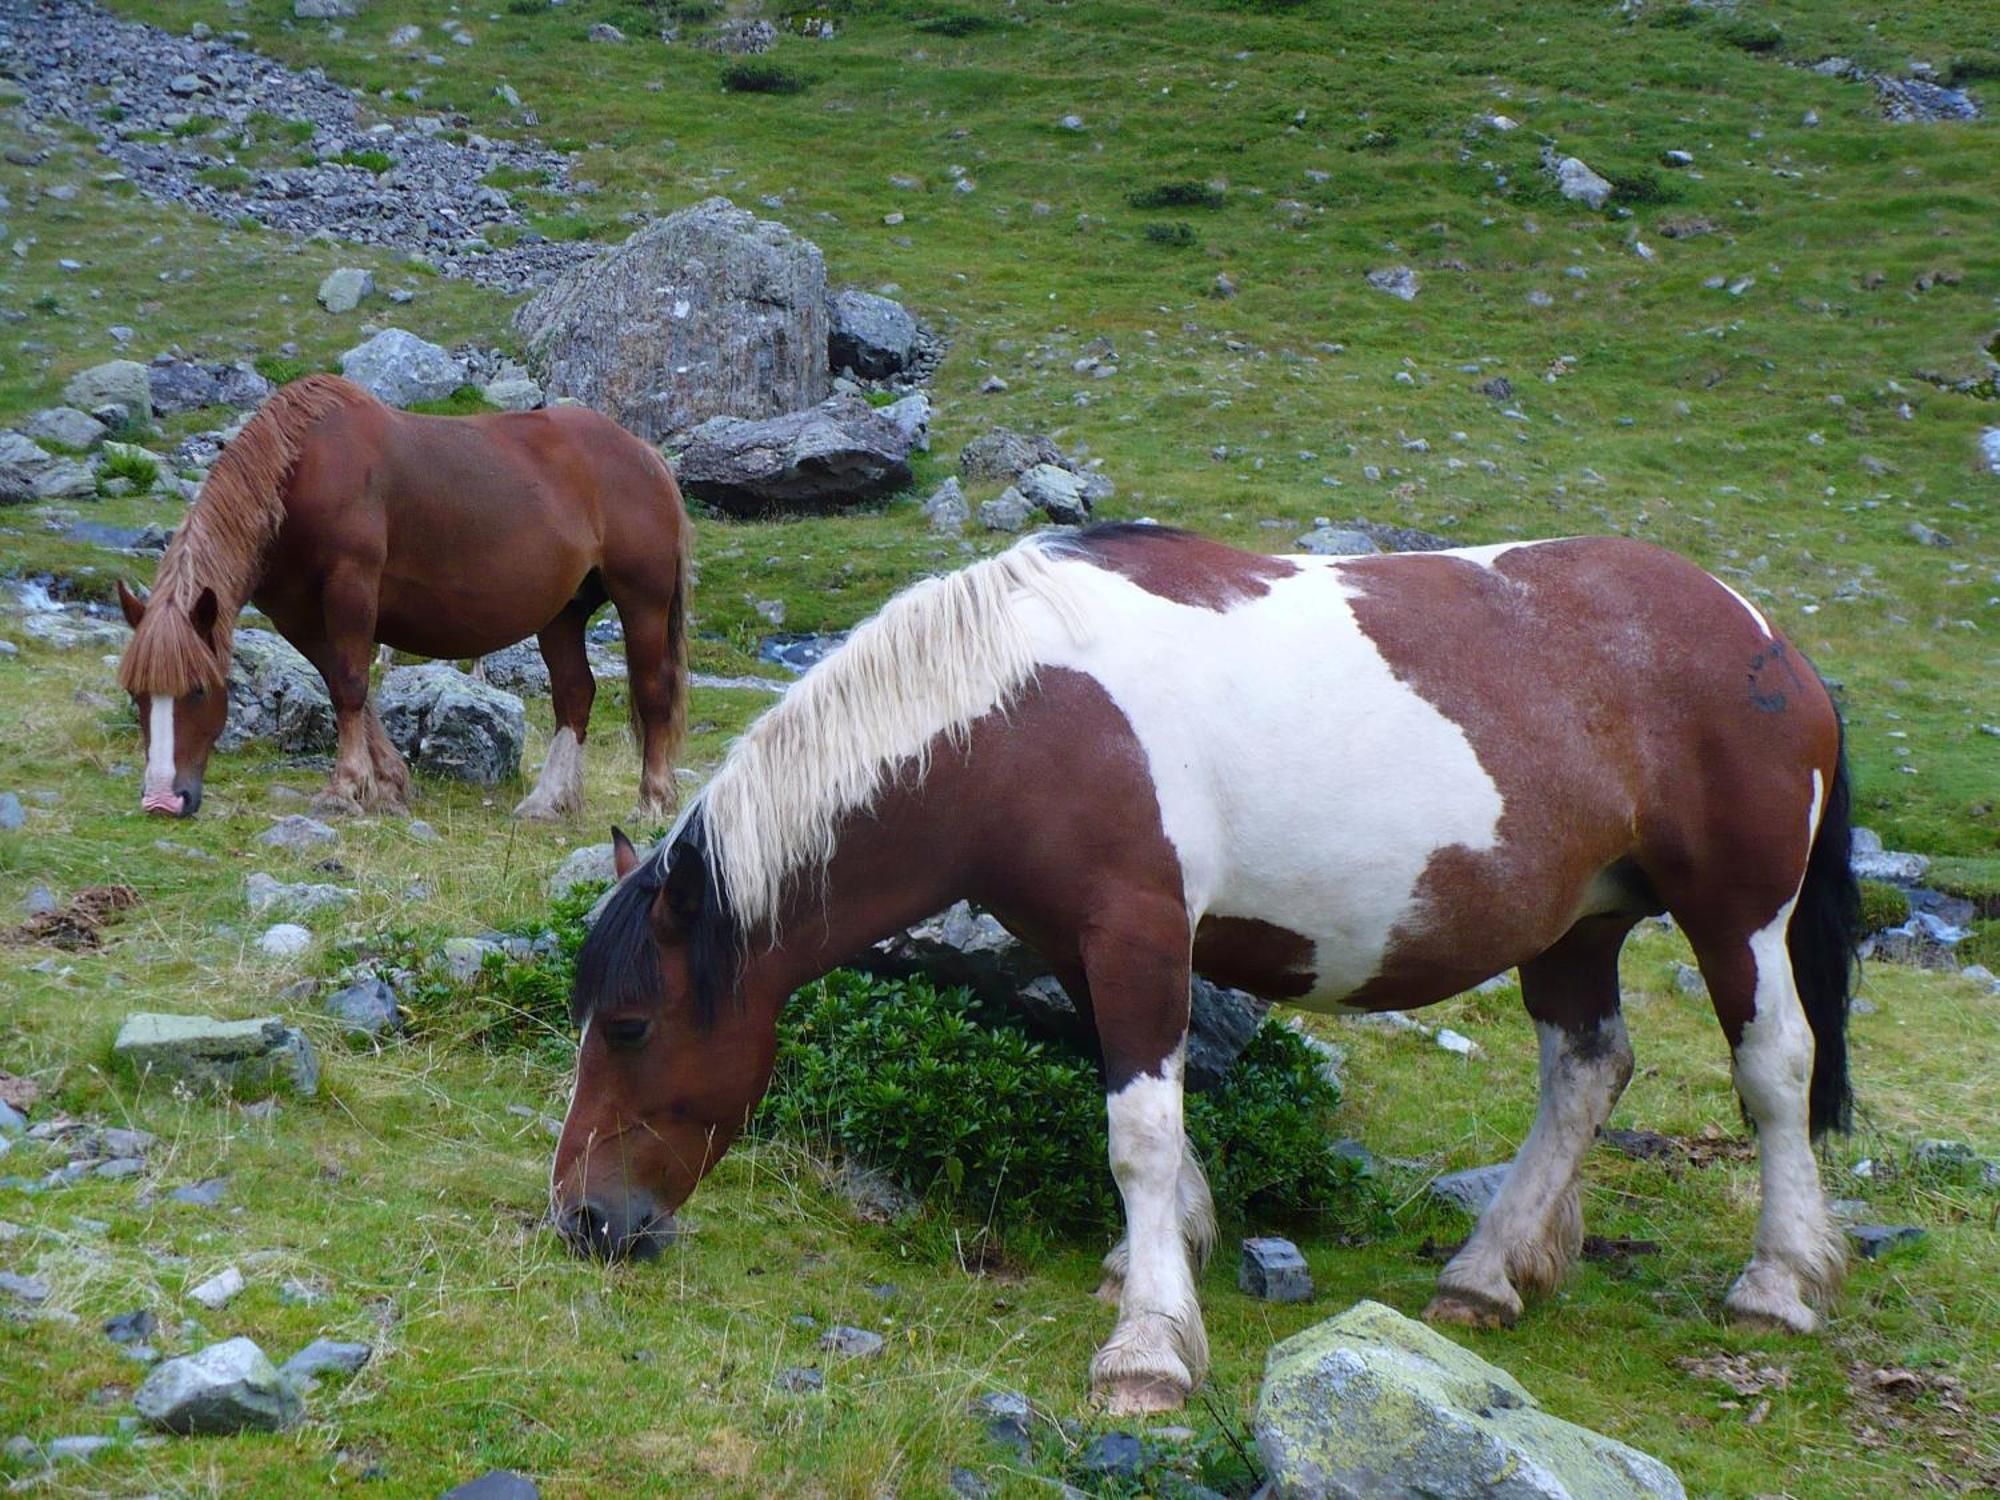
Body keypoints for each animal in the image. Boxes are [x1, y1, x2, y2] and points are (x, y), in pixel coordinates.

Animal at [121, 374, 696, 824]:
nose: (163, 801)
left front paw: (346, 787)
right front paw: (389, 781)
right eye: (137, 695)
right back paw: (549, 800)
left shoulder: (350, 588)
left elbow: (350, 685)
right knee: (575, 694)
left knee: (653, 691)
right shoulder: (298, 615)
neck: (305, 471)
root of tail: (646, 454)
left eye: (199, 690)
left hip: (641, 602)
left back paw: (652, 800)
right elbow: (343, 684)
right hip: (562, 613)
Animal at [552, 528, 1856, 1424]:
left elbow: (1136, 1131)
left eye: (629, 1025)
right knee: (1585, 1070)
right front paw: (1159, 1262)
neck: (1027, 713)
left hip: (1736, 918)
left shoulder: (1136, 930)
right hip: (1577, 927)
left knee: (1771, 1069)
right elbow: (1144, 1120)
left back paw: (1774, 1281)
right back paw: (1486, 1276)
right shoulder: (1078, 945)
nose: (584, 1220)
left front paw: (1146, 1353)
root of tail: (1765, 641)